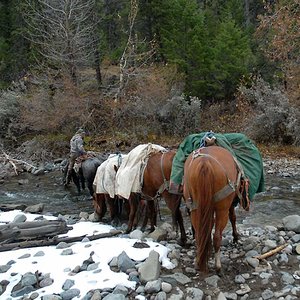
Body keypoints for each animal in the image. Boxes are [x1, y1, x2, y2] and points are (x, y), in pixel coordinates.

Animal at [183, 146, 244, 274]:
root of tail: (205, 162)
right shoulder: (228, 205)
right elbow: (233, 217)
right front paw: (235, 236)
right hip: (222, 208)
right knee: (217, 236)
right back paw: (218, 266)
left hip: (195, 207)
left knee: (199, 234)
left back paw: (199, 261)